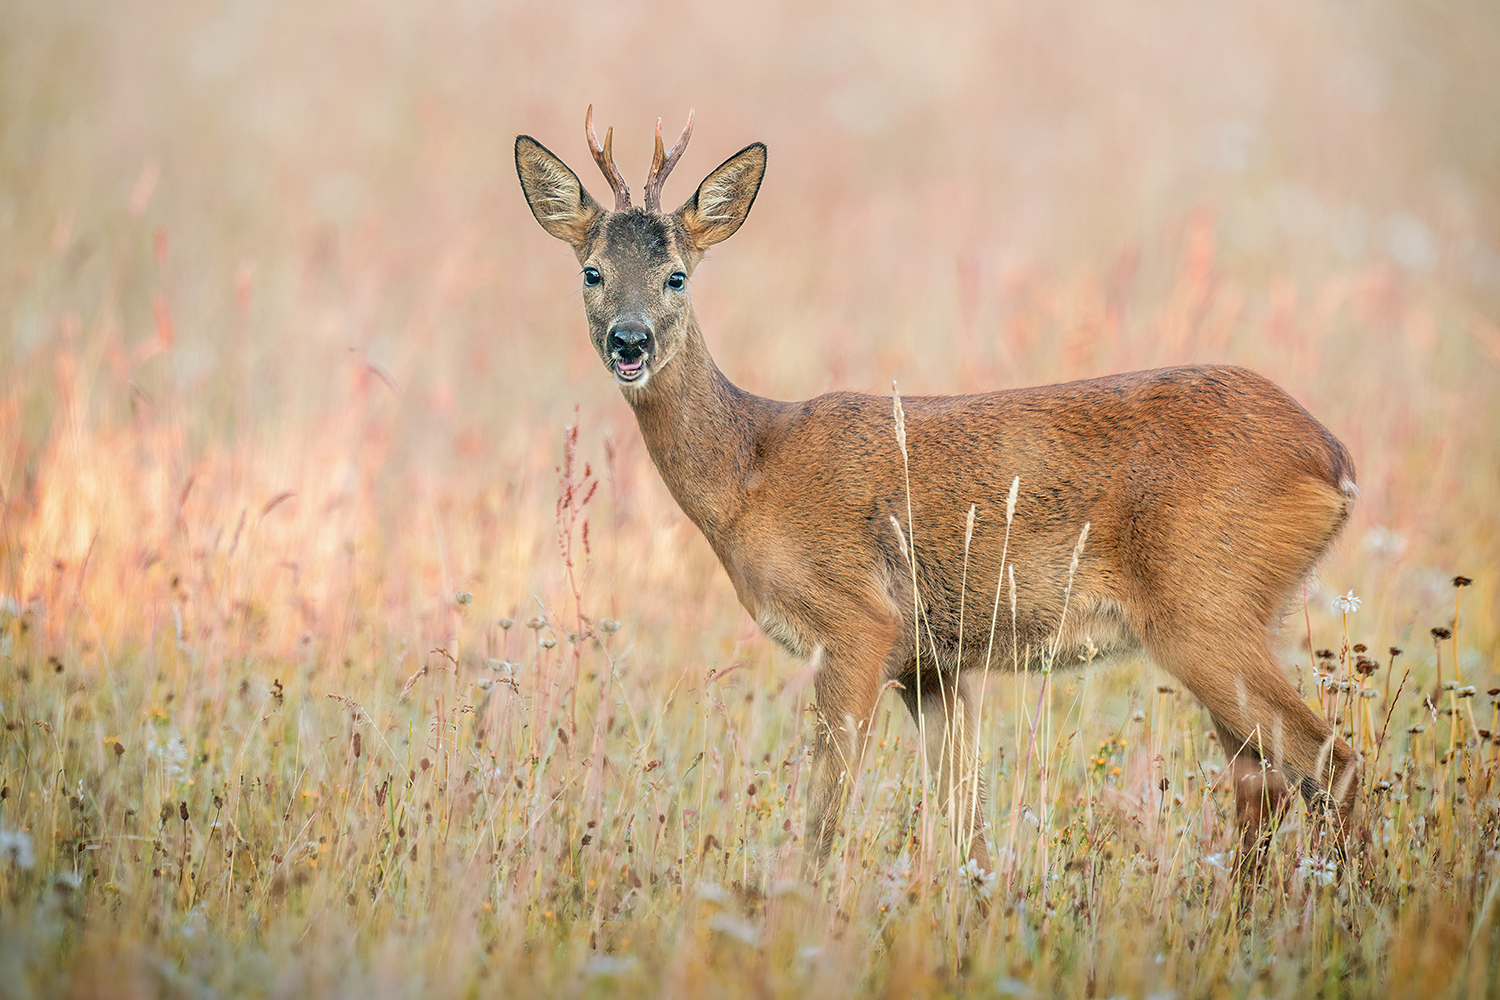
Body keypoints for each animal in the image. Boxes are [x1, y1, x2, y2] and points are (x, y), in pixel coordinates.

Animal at [513, 105, 1362, 881]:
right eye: (592, 271)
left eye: (677, 276)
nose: (629, 342)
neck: (750, 470)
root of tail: (1333, 458)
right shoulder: (932, 664)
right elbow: (965, 827)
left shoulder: (858, 621)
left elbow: (825, 814)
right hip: (1235, 616)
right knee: (1264, 781)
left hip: (1205, 608)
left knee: (1330, 763)